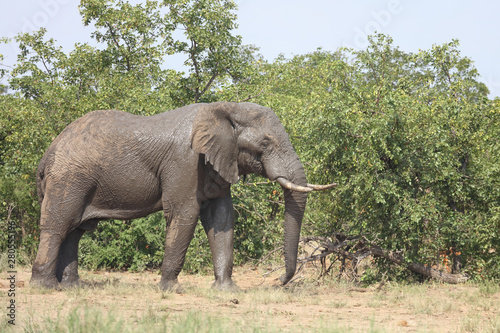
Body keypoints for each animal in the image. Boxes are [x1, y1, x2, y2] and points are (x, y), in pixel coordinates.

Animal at [31, 102, 336, 290]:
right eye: (265, 143)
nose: (278, 282)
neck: (227, 108)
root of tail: (48, 154)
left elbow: (222, 218)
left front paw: (227, 290)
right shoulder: (185, 161)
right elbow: (184, 213)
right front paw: (170, 289)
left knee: (75, 230)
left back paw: (72, 287)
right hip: (70, 177)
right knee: (59, 225)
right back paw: (46, 287)